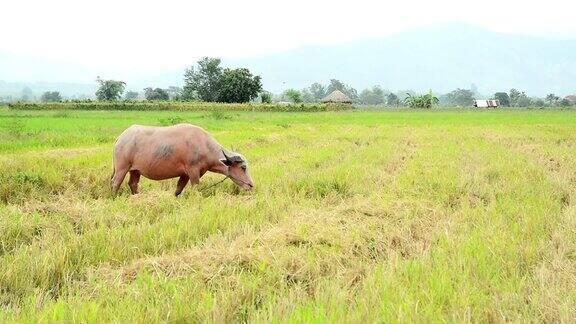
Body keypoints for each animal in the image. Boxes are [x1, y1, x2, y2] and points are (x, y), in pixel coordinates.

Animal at [111, 123, 253, 195]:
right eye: (243, 167)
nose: (251, 185)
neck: (204, 145)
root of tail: (120, 137)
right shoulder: (193, 171)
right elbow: (196, 188)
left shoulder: (184, 174)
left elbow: (178, 189)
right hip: (122, 168)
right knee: (115, 183)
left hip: (135, 170)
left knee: (133, 184)